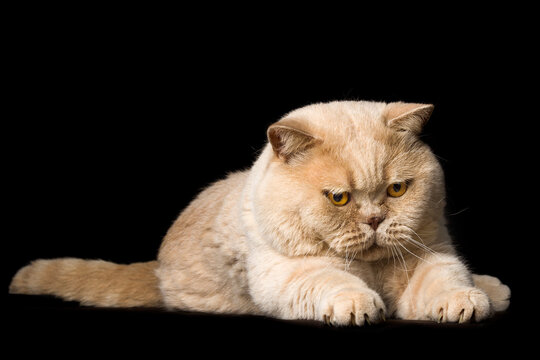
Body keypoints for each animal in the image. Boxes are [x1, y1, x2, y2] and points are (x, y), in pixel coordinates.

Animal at [10, 101, 512, 326]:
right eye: (339, 199)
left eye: (396, 189)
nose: (374, 220)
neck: (371, 269)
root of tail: (156, 269)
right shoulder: (289, 274)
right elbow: (332, 282)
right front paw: (360, 304)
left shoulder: (430, 254)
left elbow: (444, 278)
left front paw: (464, 301)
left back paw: (492, 288)